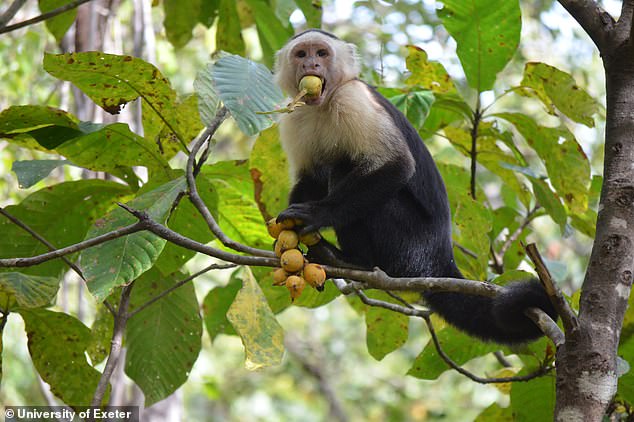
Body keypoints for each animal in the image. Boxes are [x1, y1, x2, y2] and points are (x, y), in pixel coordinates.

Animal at [270, 28, 552, 342]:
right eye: (301, 54)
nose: (312, 65)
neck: (324, 103)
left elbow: (397, 166)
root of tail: (439, 258)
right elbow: (310, 178)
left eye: (322, 53)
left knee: (350, 170)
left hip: (409, 244)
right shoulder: (294, 116)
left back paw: (353, 260)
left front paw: (317, 215)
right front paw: (286, 231)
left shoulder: (353, 99)